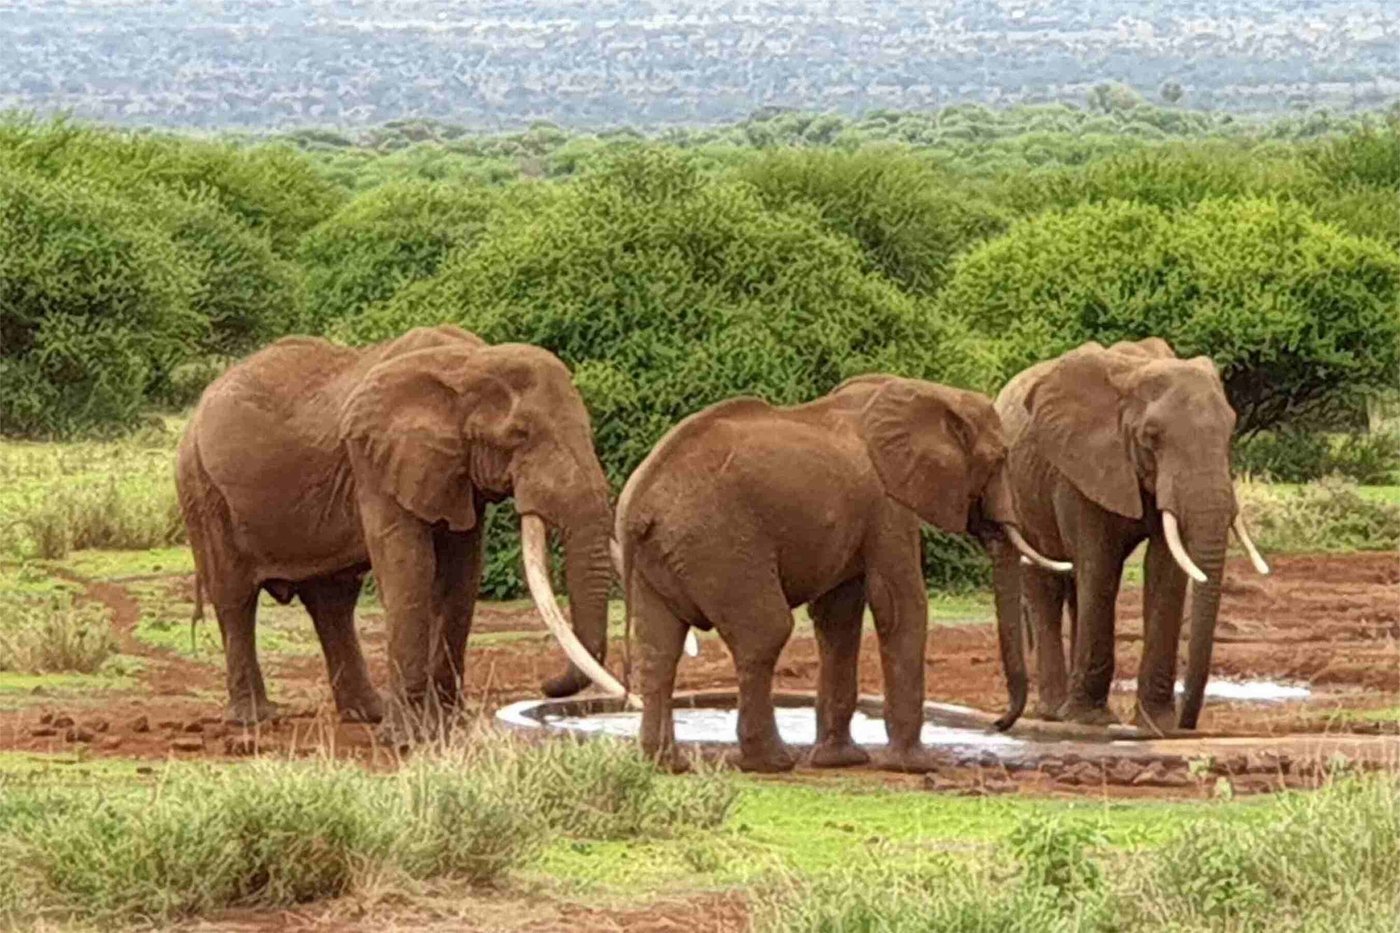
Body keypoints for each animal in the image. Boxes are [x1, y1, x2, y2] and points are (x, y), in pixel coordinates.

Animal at [176, 324, 626, 726]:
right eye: (520, 434)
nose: (547, 686)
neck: (468, 363)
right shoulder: (375, 461)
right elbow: (410, 566)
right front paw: (409, 737)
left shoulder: (455, 472)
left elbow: (461, 573)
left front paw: (449, 724)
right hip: (201, 489)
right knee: (235, 598)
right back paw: (254, 720)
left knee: (332, 601)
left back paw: (366, 714)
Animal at [608, 374, 1065, 773]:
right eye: (999, 459)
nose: (999, 724)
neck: (929, 393)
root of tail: (641, 502)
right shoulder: (887, 503)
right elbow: (899, 606)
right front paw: (913, 766)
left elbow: (838, 617)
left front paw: (840, 760)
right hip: (721, 544)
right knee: (765, 632)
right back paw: (771, 763)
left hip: (663, 555)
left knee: (659, 648)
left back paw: (664, 764)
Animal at [994, 338, 1270, 734]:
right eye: (1152, 436)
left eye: (1230, 430)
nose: (1188, 724)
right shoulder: (1081, 466)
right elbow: (1100, 566)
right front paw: (1091, 720)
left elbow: (1166, 571)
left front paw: (1157, 726)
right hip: (1020, 492)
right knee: (1047, 582)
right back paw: (1053, 711)